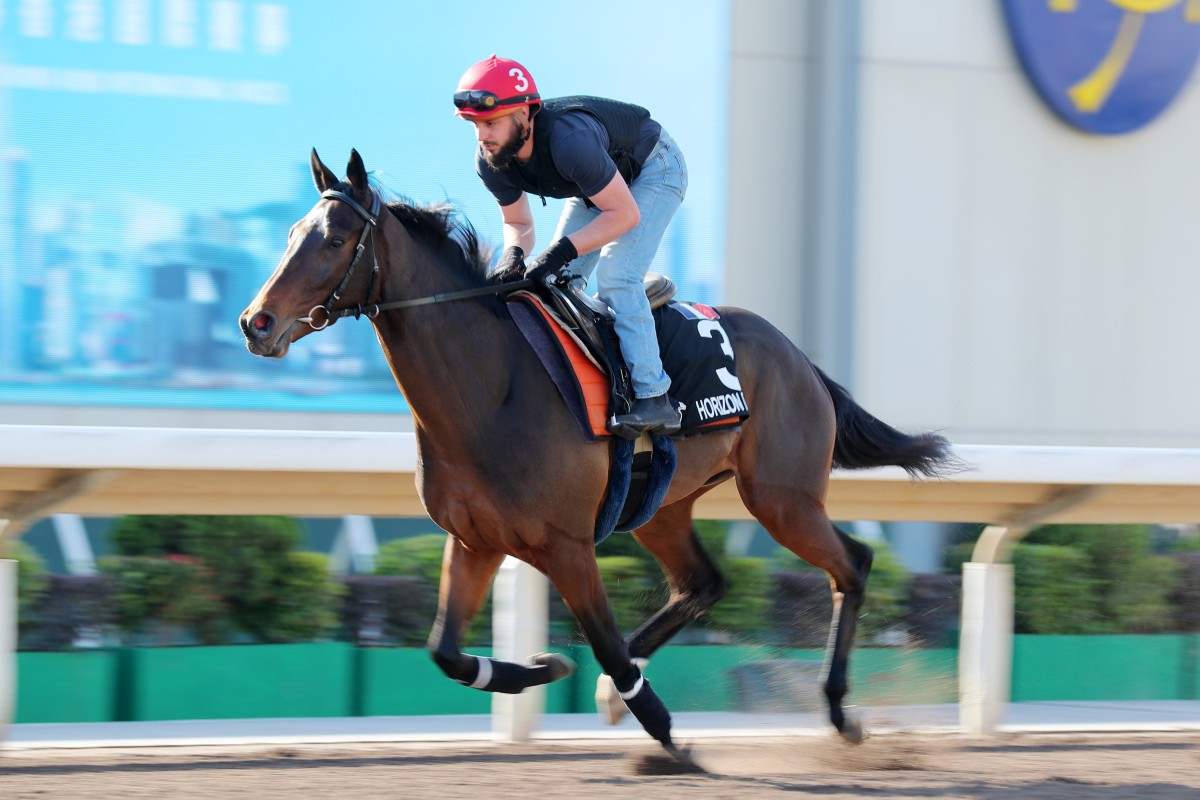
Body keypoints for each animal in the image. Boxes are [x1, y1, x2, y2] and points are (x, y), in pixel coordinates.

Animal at [241, 148, 955, 762]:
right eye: (291, 234)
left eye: (335, 240)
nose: (256, 323)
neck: (491, 387)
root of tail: (798, 357)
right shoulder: (476, 540)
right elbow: (445, 649)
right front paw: (542, 666)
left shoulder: (567, 545)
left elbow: (605, 644)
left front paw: (670, 738)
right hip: (665, 505)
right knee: (705, 581)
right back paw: (622, 693)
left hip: (783, 497)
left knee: (852, 565)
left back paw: (837, 710)